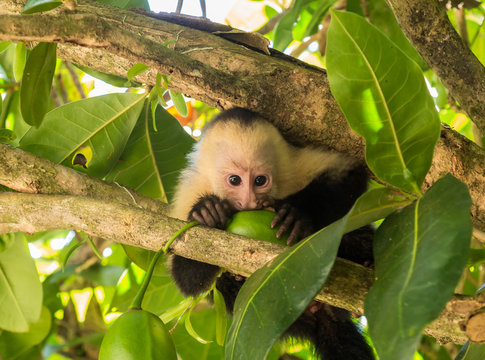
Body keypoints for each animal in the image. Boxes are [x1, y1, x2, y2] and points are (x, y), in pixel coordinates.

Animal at [170, 107, 374, 360]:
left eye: (260, 180)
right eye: (234, 180)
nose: (250, 202)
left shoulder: (292, 165)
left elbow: (349, 173)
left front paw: (295, 213)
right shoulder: (189, 192)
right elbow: (186, 279)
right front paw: (207, 213)